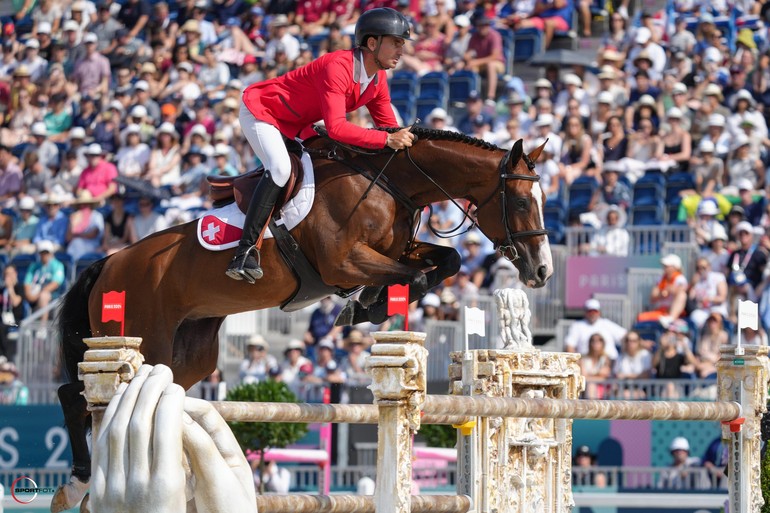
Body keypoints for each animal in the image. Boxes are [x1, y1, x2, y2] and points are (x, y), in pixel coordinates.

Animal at [51, 130, 548, 510]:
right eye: (523, 201)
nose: (541, 271)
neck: (391, 185)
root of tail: (108, 263)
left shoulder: (397, 252)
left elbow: (447, 260)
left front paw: (370, 304)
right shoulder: (343, 263)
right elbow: (417, 274)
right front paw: (367, 304)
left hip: (188, 354)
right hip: (142, 337)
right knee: (78, 394)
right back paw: (78, 482)